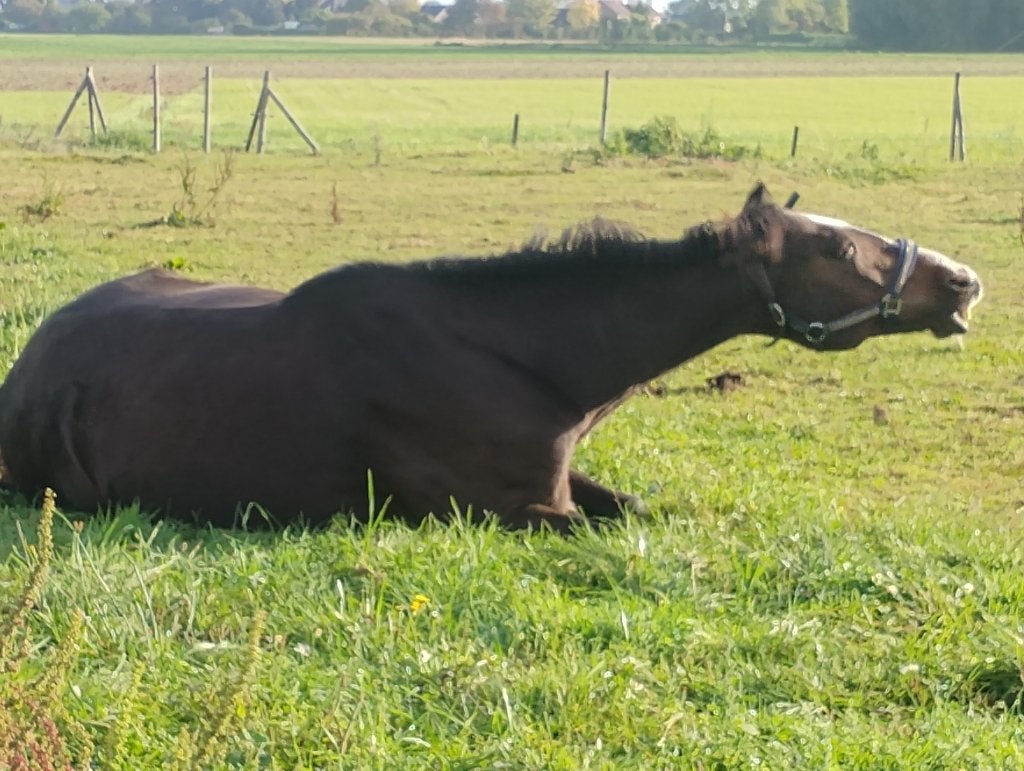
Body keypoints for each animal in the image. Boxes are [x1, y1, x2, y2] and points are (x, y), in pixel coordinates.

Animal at [0, 184, 982, 533]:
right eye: (836, 249)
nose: (964, 281)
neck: (522, 353)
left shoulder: (562, 482)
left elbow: (646, 511)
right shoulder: (514, 510)